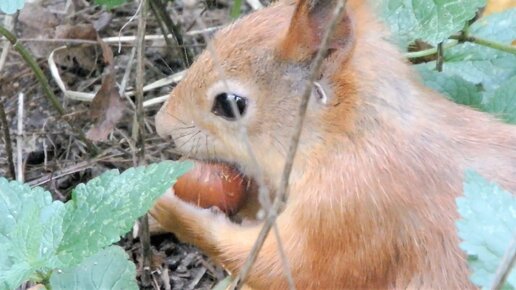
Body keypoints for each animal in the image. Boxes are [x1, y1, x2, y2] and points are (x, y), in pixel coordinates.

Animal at [149, 1, 516, 288]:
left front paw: (168, 209)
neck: (349, 137)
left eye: (230, 104)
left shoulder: (351, 211)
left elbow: (283, 267)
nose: (161, 126)